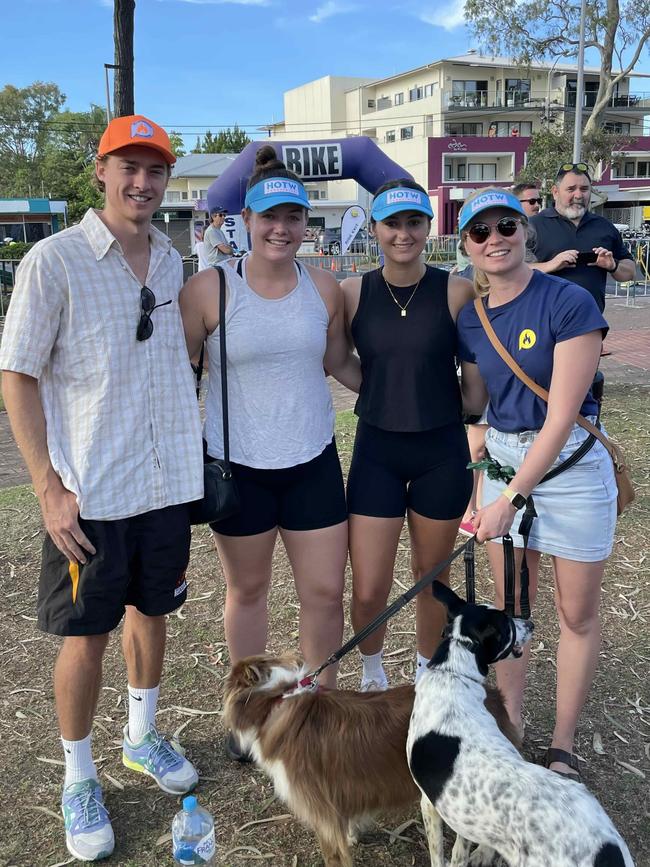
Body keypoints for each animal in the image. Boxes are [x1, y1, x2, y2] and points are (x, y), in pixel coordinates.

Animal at [404, 584, 632, 867]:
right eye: (508, 624)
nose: (531, 623)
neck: (453, 674)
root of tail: (606, 848)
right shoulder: (451, 811)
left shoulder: (432, 805)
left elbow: (444, 853)